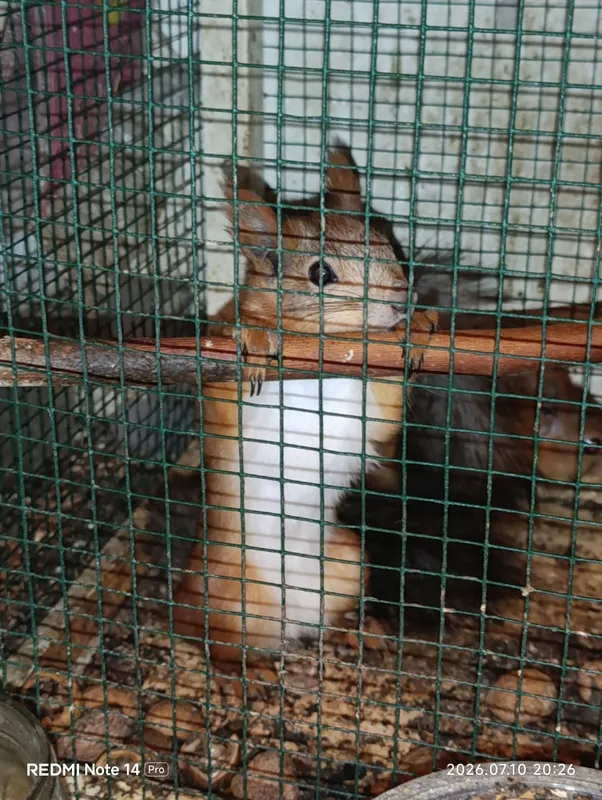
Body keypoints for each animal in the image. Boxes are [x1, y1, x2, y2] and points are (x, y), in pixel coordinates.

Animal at [174, 142, 439, 663]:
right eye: (320, 273)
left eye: (388, 244)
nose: (401, 302)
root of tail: (288, 621)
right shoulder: (218, 391)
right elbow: (227, 374)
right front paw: (256, 339)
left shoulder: (363, 403)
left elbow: (387, 416)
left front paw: (417, 328)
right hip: (222, 596)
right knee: (213, 643)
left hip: (348, 563)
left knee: (322, 619)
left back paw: (353, 632)